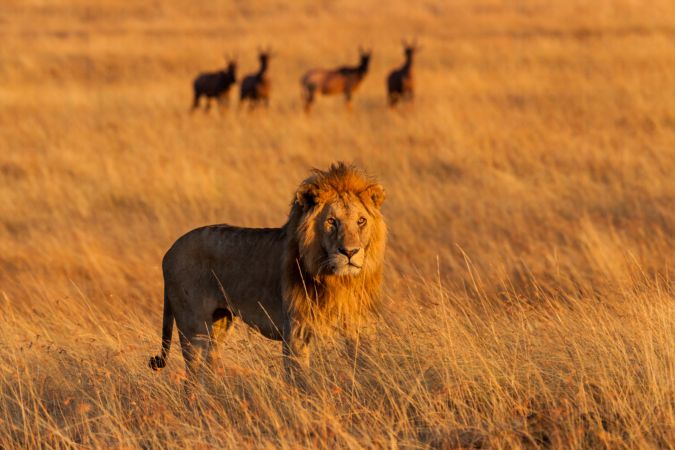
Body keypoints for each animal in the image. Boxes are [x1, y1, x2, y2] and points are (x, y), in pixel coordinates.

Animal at [148, 162, 386, 382]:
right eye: (331, 221)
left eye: (361, 221)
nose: (350, 251)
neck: (338, 281)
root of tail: (169, 251)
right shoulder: (296, 333)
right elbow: (302, 381)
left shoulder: (358, 327)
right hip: (194, 329)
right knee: (192, 379)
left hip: (219, 324)